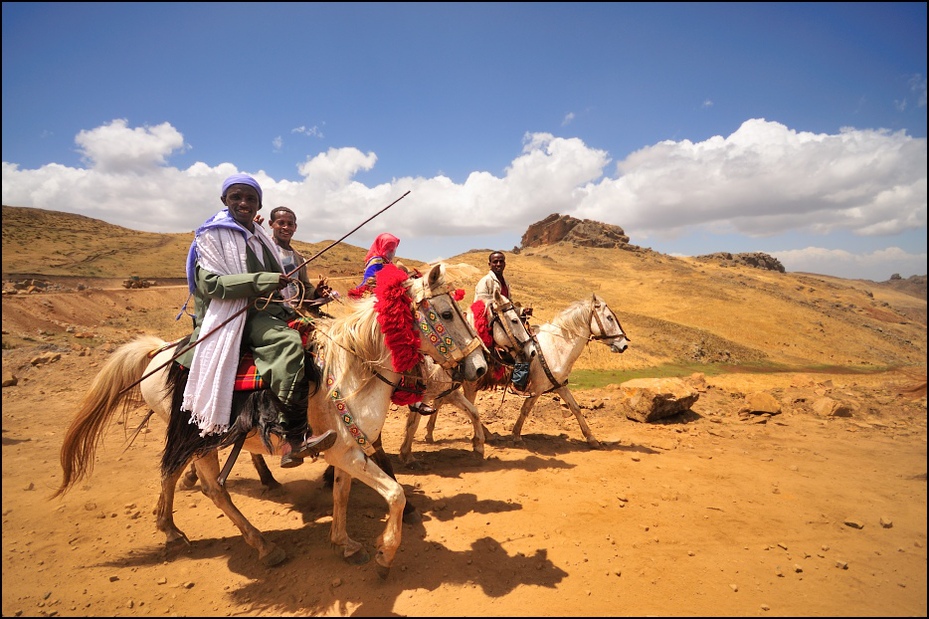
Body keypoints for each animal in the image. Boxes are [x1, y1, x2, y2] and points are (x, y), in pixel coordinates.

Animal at [55, 264, 486, 580]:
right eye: (445, 313)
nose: (479, 366)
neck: (352, 369)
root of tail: (161, 351)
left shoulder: (347, 450)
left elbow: (342, 495)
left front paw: (344, 543)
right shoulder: (346, 451)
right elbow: (394, 494)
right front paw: (384, 555)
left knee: (173, 474)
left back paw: (171, 528)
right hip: (199, 437)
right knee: (212, 488)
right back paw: (262, 545)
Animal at [400, 294, 632, 462]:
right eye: (609, 318)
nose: (623, 345)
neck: (556, 346)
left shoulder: (559, 385)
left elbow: (575, 408)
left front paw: (592, 438)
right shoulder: (537, 389)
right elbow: (525, 410)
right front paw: (516, 435)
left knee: (446, 403)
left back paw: (433, 434)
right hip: (469, 385)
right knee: (458, 406)